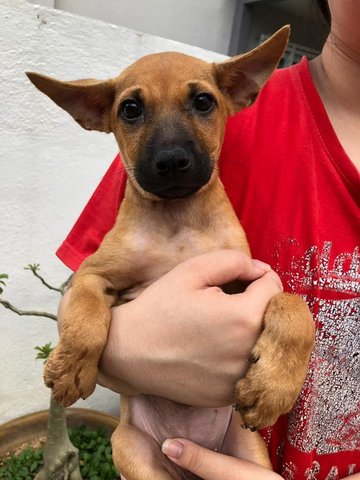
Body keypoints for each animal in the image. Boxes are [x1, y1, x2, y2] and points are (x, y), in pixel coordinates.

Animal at [27, 27, 316, 480]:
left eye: (203, 102)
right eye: (130, 109)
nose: (172, 160)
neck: (178, 221)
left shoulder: (248, 277)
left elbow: (294, 306)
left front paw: (273, 386)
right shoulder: (92, 275)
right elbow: (85, 313)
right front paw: (72, 365)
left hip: (249, 454)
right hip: (130, 449)